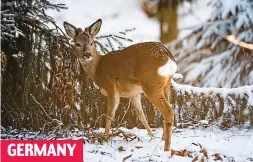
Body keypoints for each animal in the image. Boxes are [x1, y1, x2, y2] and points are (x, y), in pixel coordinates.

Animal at [64, 19, 177, 152]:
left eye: (92, 43)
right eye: (77, 44)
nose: (87, 54)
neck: (97, 70)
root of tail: (168, 55)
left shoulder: (111, 88)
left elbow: (109, 115)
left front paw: (105, 139)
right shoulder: (134, 94)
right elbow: (141, 115)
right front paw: (151, 136)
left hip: (151, 85)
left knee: (169, 111)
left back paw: (166, 148)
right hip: (166, 85)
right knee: (168, 109)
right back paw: (163, 139)